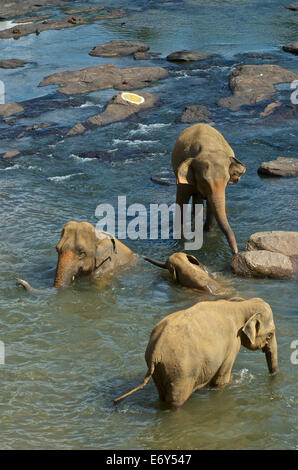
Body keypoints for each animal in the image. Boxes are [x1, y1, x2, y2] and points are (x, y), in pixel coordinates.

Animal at [114, 300, 280, 410]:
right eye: (270, 334)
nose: (272, 377)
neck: (241, 304)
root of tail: (156, 351)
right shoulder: (233, 344)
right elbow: (220, 380)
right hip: (181, 371)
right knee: (176, 401)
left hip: (159, 371)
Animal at [171, 121, 246, 253]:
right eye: (203, 180)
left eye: (226, 180)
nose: (236, 251)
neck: (207, 149)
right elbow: (181, 200)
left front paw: (208, 234)